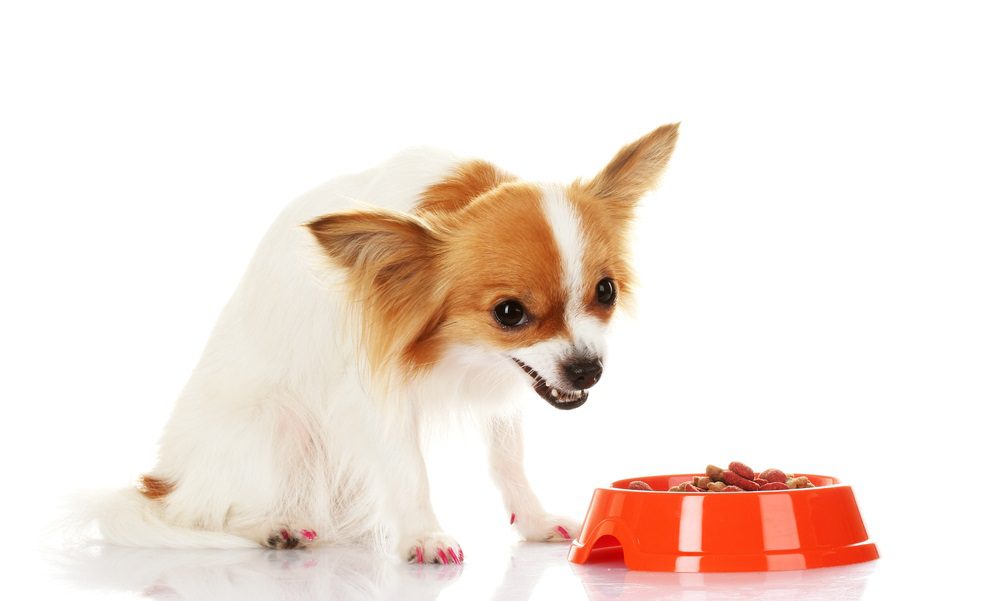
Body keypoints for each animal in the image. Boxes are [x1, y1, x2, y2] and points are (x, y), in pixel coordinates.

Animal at [94, 122, 680, 564]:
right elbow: (407, 467)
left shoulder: (507, 378)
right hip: (280, 429)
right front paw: (424, 536)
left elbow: (507, 459)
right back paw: (274, 529)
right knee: (205, 513)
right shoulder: (374, 394)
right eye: (509, 313)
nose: (587, 370)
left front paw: (531, 521)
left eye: (605, 291)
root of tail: (162, 483)